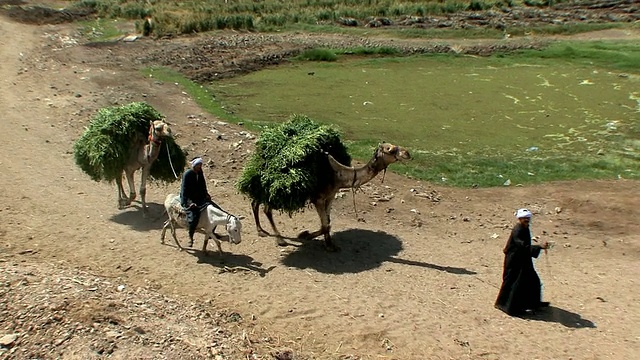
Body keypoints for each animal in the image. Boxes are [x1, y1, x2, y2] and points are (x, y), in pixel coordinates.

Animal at [251, 142, 410, 252]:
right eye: (390, 149)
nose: (407, 153)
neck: (339, 175)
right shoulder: (318, 198)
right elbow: (326, 224)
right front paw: (320, 242)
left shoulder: (331, 195)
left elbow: (327, 222)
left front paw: (312, 237)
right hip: (274, 189)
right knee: (266, 209)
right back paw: (280, 240)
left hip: (263, 186)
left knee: (255, 202)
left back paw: (260, 231)